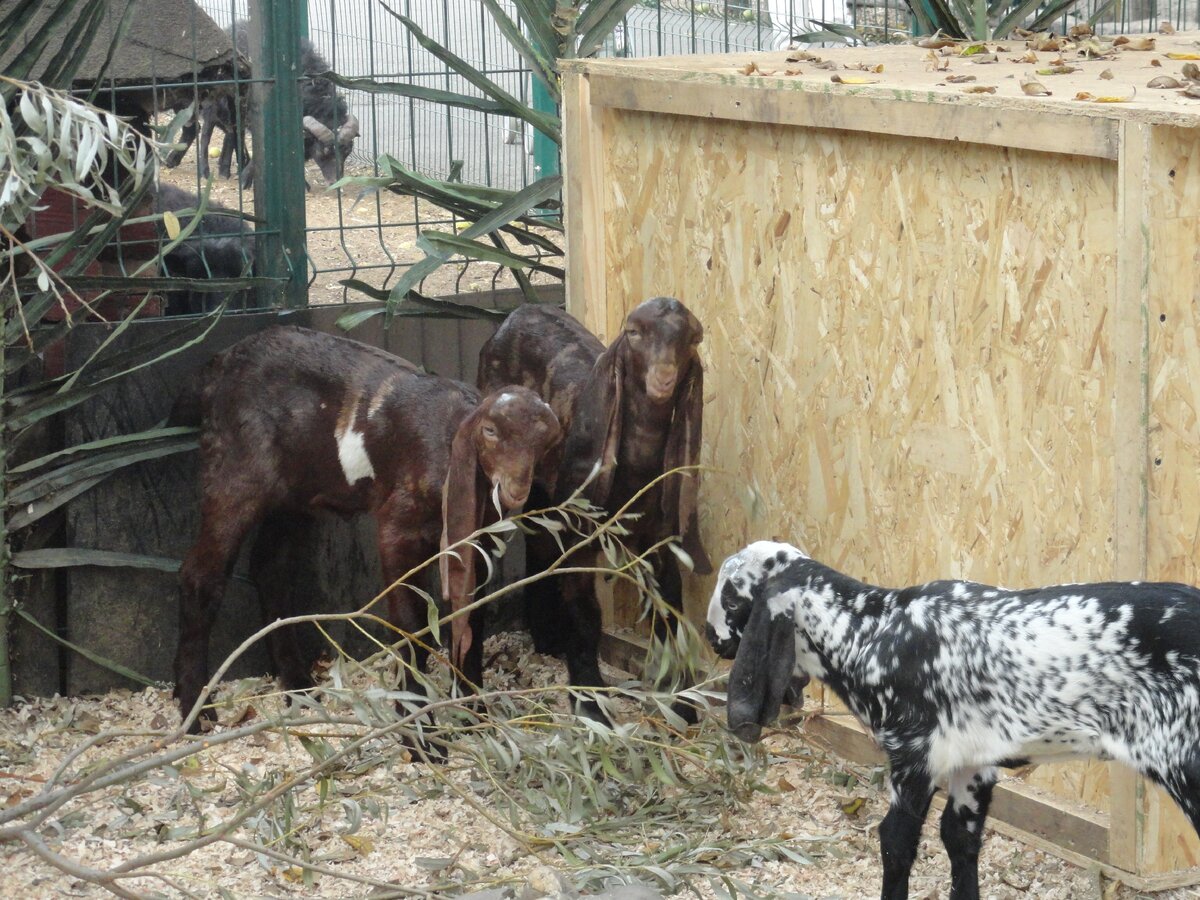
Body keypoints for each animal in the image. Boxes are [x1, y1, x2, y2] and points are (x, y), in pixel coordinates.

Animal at [171, 328, 564, 734]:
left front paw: (474, 715)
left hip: (296, 493)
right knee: (201, 576)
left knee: (271, 568)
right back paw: (197, 710)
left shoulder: (479, 539)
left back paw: (299, 685)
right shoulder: (398, 525)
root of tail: (215, 368)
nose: (515, 489)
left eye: (547, 442)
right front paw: (419, 731)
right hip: (236, 472)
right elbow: (410, 621)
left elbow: (470, 614)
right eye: (489, 431)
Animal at [472, 300, 705, 724]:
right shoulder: (581, 536)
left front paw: (683, 703)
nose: (663, 378)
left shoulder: (657, 540)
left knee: (540, 541)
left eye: (693, 338)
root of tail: (518, 311)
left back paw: (547, 640)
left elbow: (669, 610)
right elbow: (585, 615)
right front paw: (590, 702)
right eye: (633, 332)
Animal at [700, 542, 1200, 900]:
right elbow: (959, 839)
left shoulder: (912, 756)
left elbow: (895, 842)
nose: (711, 638)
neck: (869, 631)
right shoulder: (972, 763)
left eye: (731, 596)